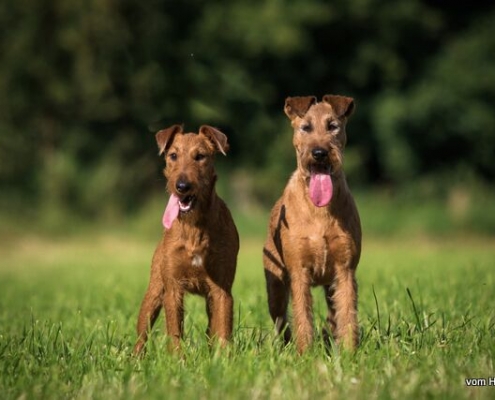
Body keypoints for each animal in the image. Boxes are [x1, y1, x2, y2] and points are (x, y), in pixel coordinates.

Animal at [134, 124, 238, 354]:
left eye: (200, 156)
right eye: (173, 155)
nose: (181, 186)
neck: (194, 226)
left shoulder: (222, 289)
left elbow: (223, 331)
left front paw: (223, 359)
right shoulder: (172, 289)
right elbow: (175, 332)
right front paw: (177, 360)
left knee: (211, 329)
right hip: (154, 292)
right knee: (141, 334)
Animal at [264, 94, 360, 354]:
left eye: (332, 126)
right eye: (305, 127)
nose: (319, 152)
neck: (320, 211)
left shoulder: (345, 270)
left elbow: (347, 313)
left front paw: (350, 352)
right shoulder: (299, 272)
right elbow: (302, 316)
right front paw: (305, 353)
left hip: (330, 285)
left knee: (332, 316)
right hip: (275, 287)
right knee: (282, 321)